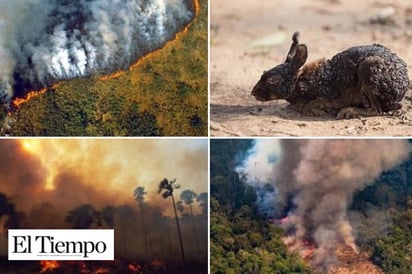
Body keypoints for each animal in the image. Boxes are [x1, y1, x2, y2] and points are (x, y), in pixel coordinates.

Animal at [251, 31, 408, 119]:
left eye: (273, 80)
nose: (253, 93)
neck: (298, 83)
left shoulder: (327, 96)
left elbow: (312, 105)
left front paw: (316, 112)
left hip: (369, 67)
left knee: (377, 110)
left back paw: (348, 112)